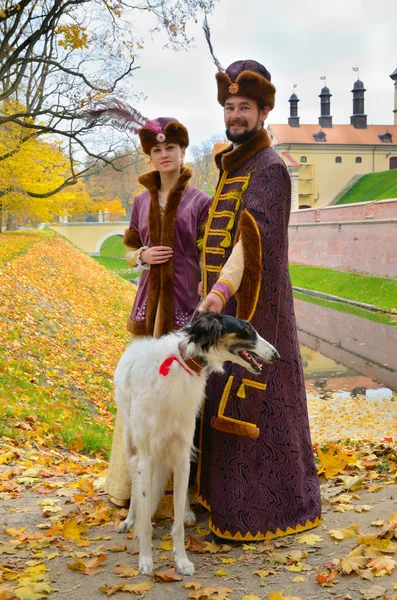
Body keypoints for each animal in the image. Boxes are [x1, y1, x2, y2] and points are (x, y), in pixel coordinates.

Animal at [113, 312, 278, 576]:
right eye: (247, 329)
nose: (277, 355)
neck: (180, 364)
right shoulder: (146, 457)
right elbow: (145, 517)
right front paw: (146, 560)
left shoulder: (181, 454)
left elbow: (178, 520)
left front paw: (182, 560)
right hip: (131, 448)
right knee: (136, 491)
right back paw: (129, 520)